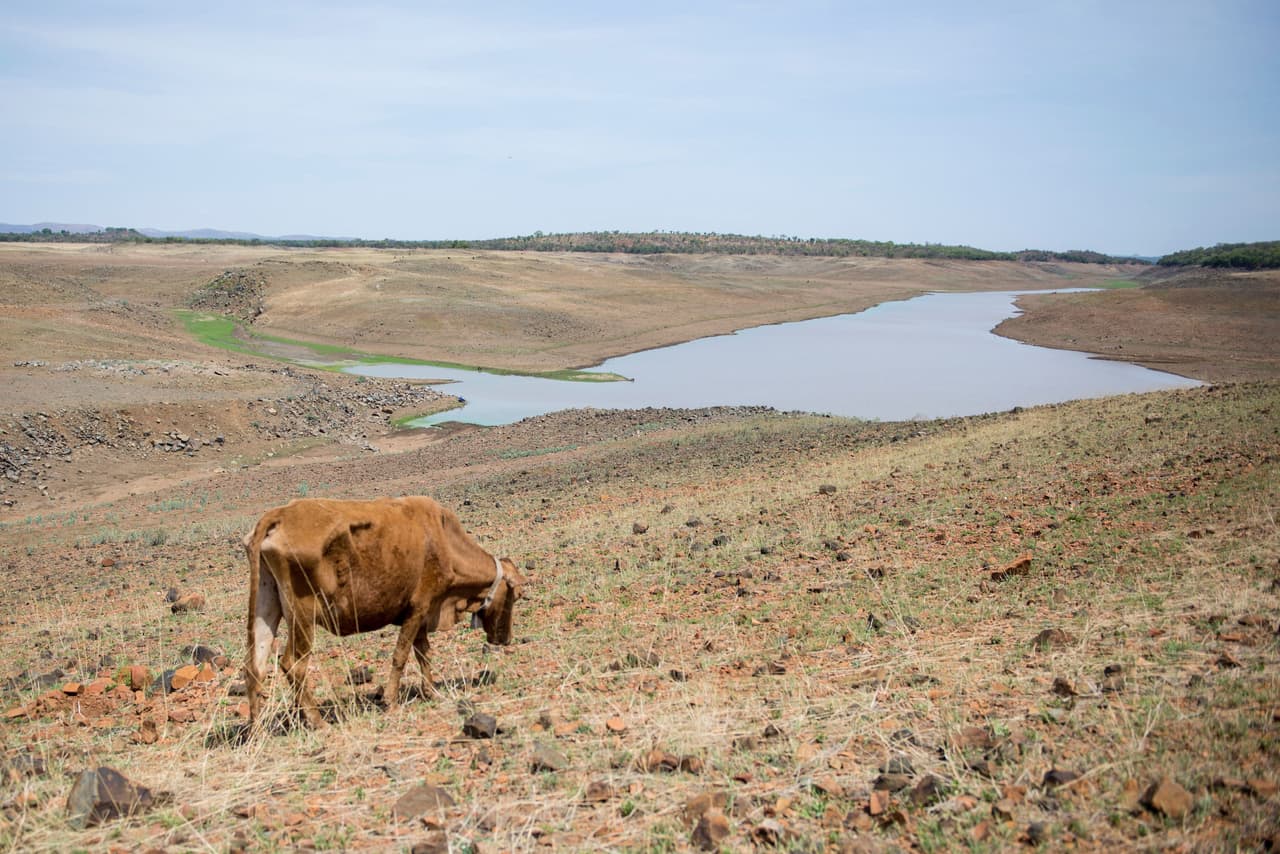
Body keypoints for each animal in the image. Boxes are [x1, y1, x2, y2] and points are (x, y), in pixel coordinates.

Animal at [243, 496, 526, 728]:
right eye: (517, 595)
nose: (506, 639)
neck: (444, 541)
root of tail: (279, 514)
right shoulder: (420, 606)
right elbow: (401, 655)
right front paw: (390, 700)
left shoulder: (421, 614)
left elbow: (423, 653)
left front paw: (430, 691)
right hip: (302, 615)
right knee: (292, 664)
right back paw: (317, 721)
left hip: (267, 605)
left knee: (255, 664)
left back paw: (257, 728)